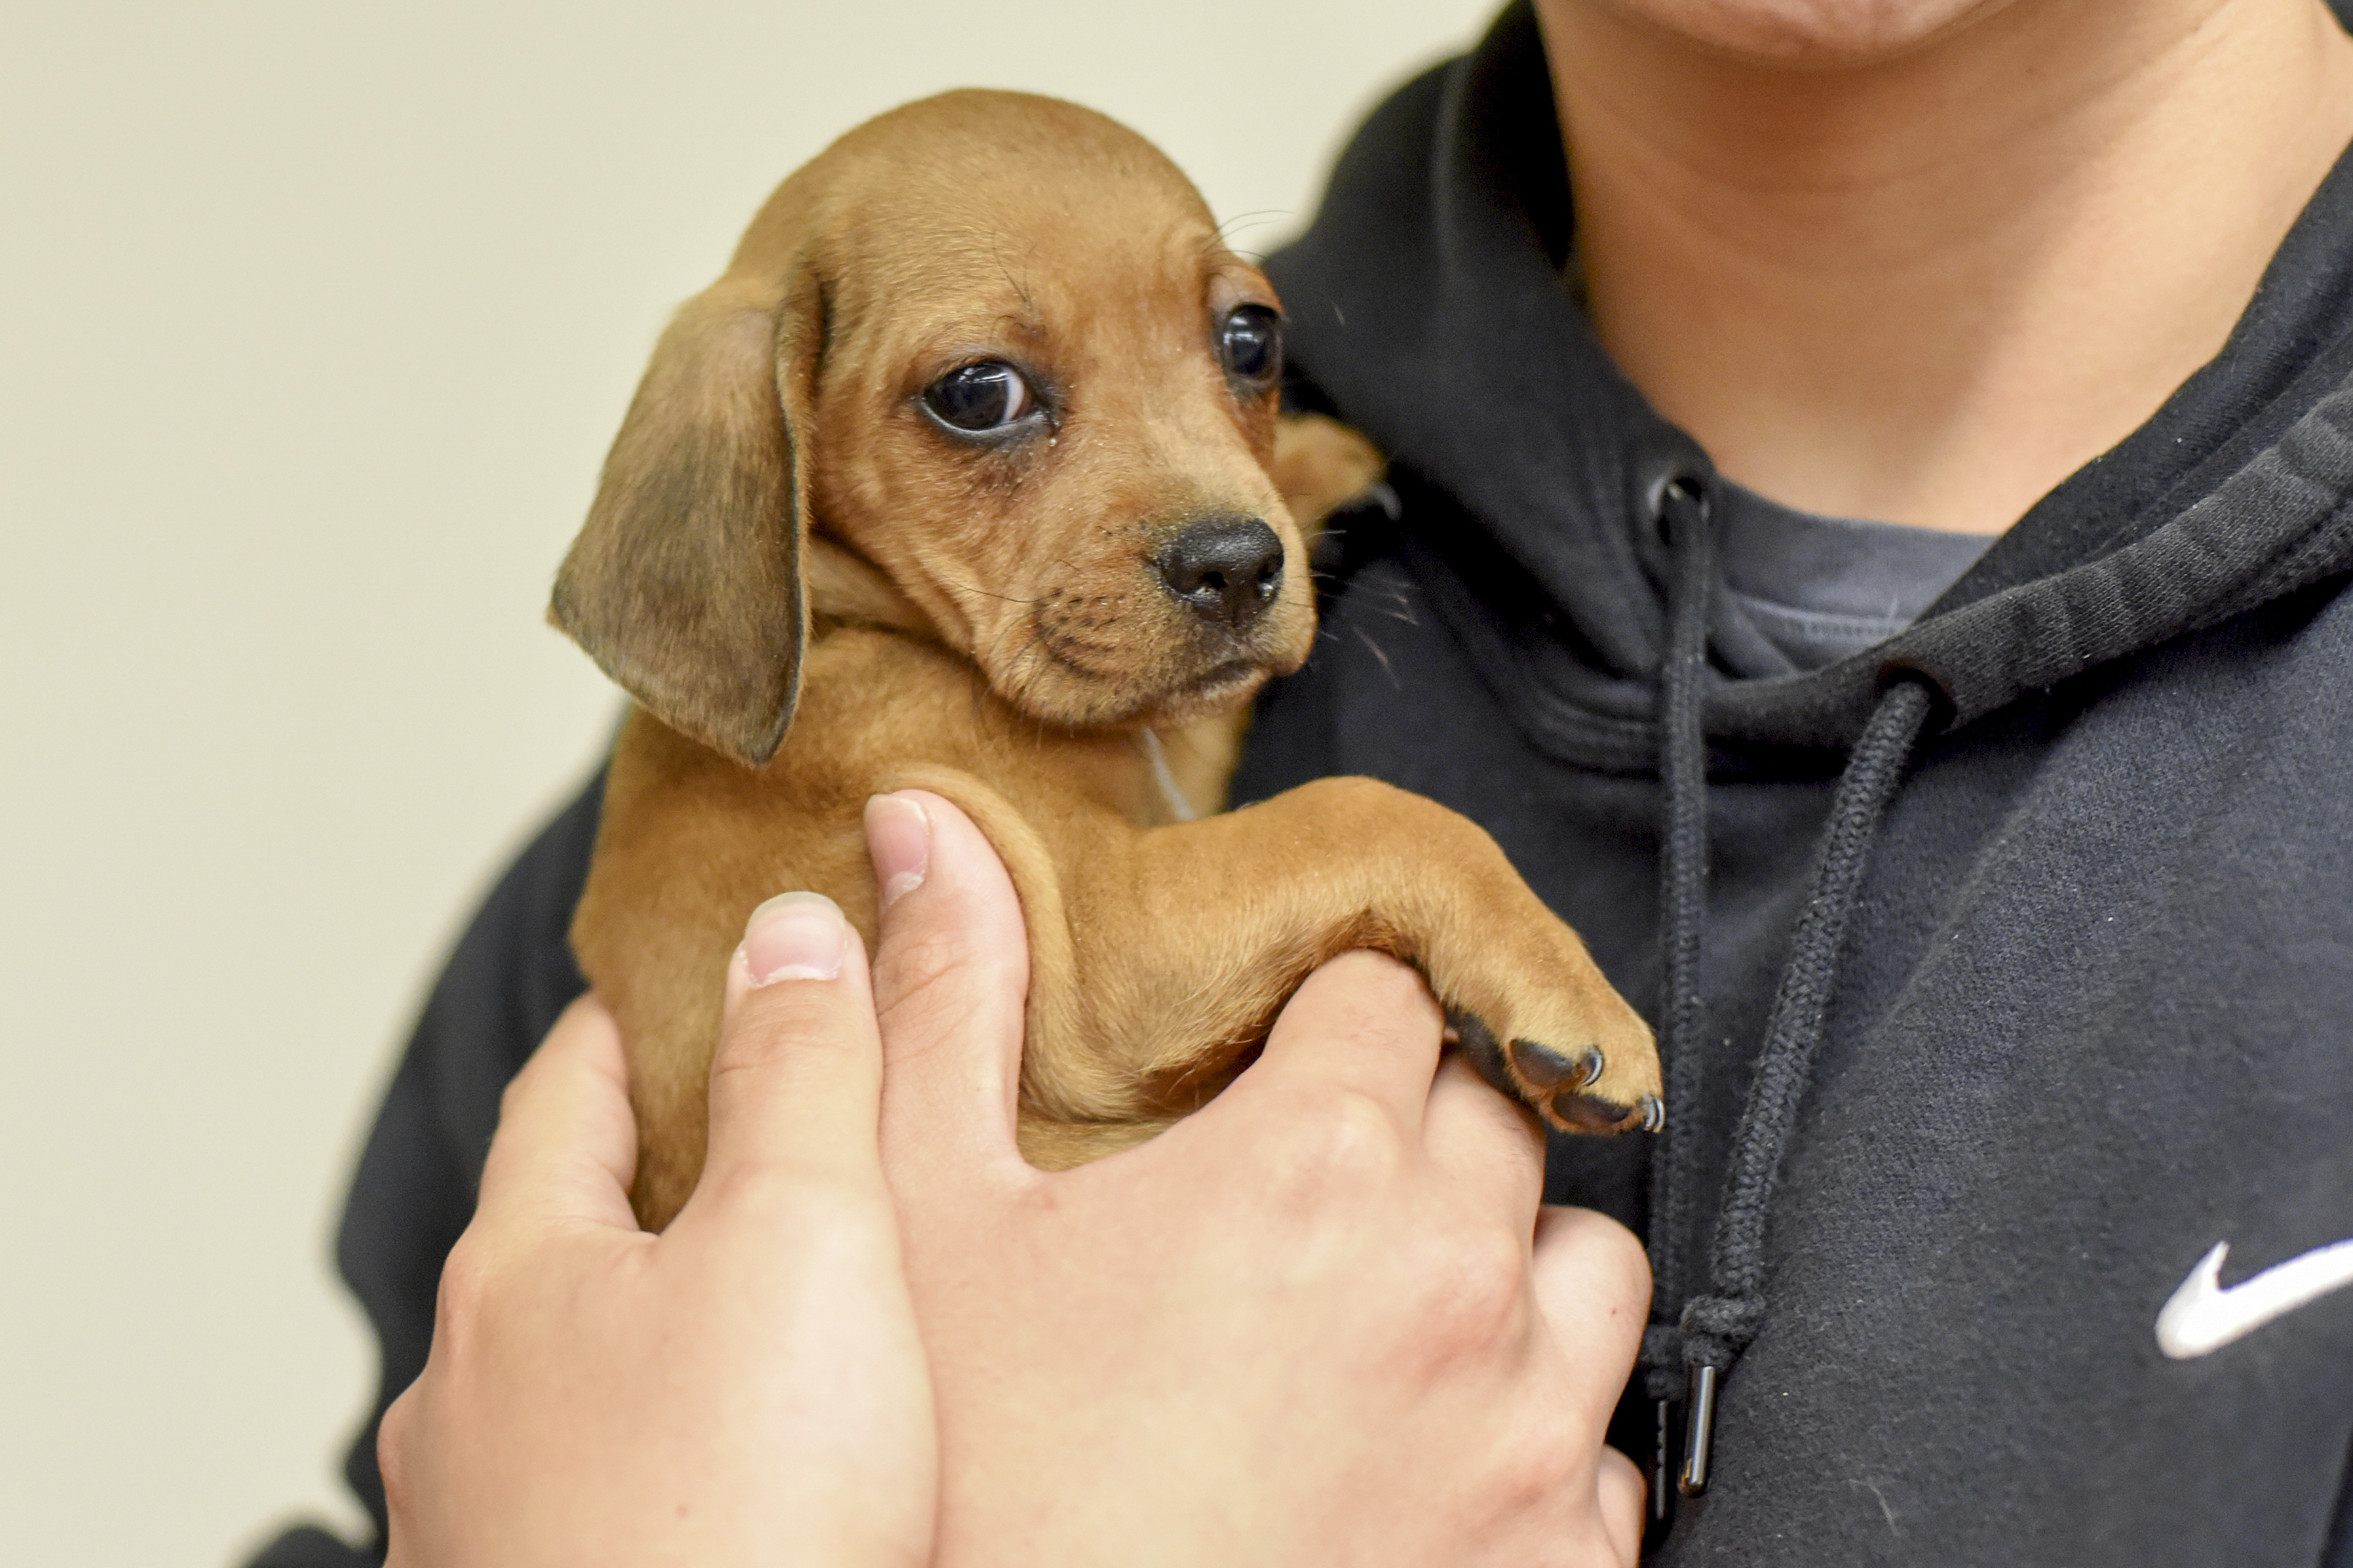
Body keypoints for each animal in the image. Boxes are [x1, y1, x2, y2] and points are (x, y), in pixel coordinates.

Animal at [555, 92, 1656, 1232]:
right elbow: (1364, 810)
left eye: (1249, 338)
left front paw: (1314, 467)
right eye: (977, 393)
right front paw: (1559, 976)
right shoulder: (1106, 927)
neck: (871, 632)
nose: (1239, 566)